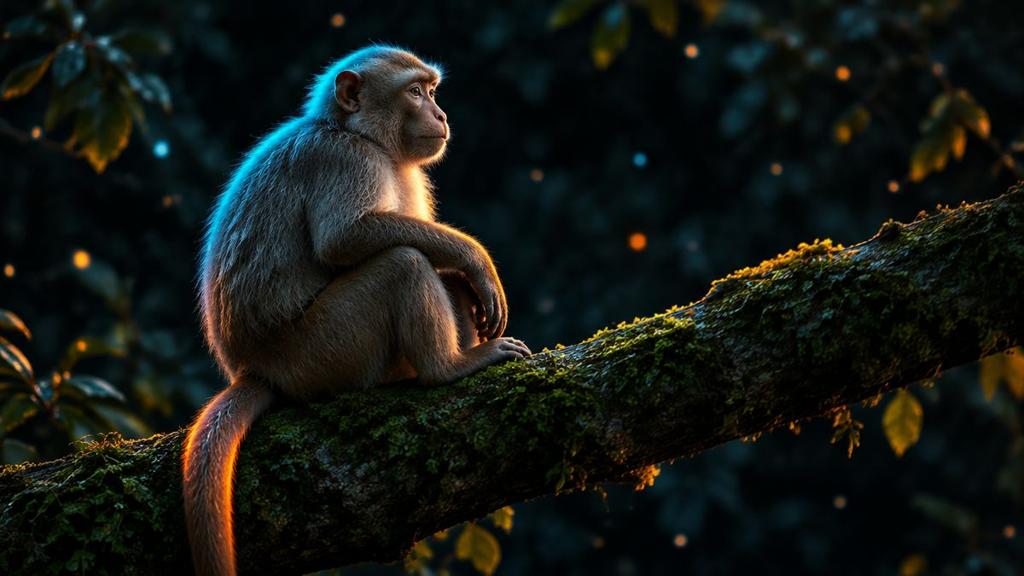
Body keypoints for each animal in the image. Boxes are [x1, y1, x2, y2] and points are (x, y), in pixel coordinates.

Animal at [183, 45, 531, 576]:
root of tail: (254, 369)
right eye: (415, 92)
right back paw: (447, 368)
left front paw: (471, 274)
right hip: (322, 351)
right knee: (401, 263)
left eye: (432, 91)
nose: (440, 115)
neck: (357, 132)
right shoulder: (345, 159)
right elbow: (346, 238)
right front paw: (475, 257)